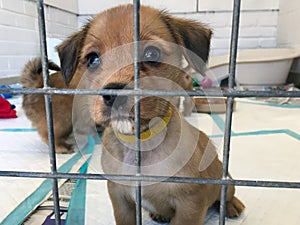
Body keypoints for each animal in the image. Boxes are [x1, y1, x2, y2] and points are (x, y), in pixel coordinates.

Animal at [56, 3, 246, 225]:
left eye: (151, 54)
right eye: (92, 59)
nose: (113, 94)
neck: (139, 143)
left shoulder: (190, 203)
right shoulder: (119, 196)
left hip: (226, 180)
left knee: (227, 193)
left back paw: (232, 206)